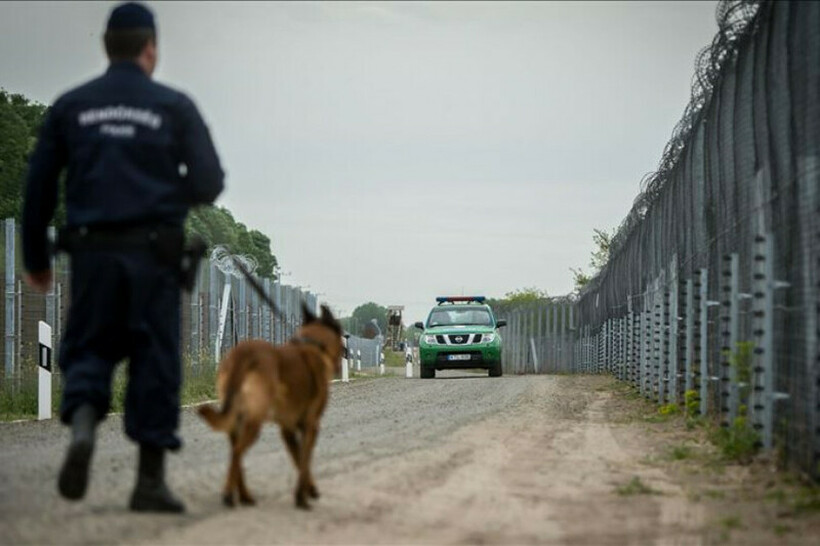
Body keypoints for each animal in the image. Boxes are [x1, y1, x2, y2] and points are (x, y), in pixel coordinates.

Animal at [200, 302, 344, 506]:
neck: (313, 345)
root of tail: (245, 353)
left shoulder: (287, 429)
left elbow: (298, 459)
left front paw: (307, 490)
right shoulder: (311, 426)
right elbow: (305, 459)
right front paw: (303, 496)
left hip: (236, 422)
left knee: (236, 456)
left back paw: (244, 496)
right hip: (254, 420)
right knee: (237, 452)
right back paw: (228, 495)